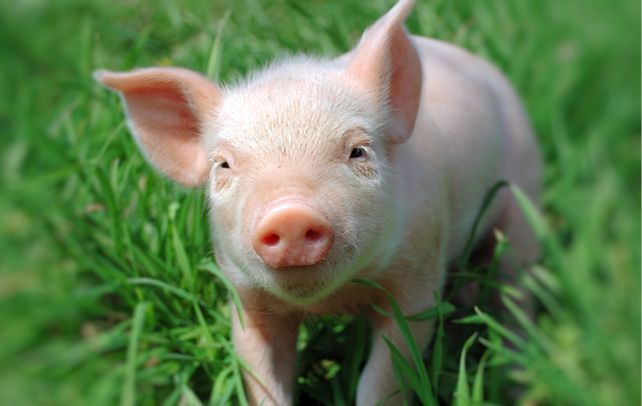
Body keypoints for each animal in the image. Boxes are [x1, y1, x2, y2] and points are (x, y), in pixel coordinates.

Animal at [94, 0, 541, 404]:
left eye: (358, 152)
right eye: (223, 165)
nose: (288, 213)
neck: (334, 300)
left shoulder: (418, 277)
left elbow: (384, 378)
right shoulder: (245, 298)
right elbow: (261, 379)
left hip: (523, 197)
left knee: (516, 292)